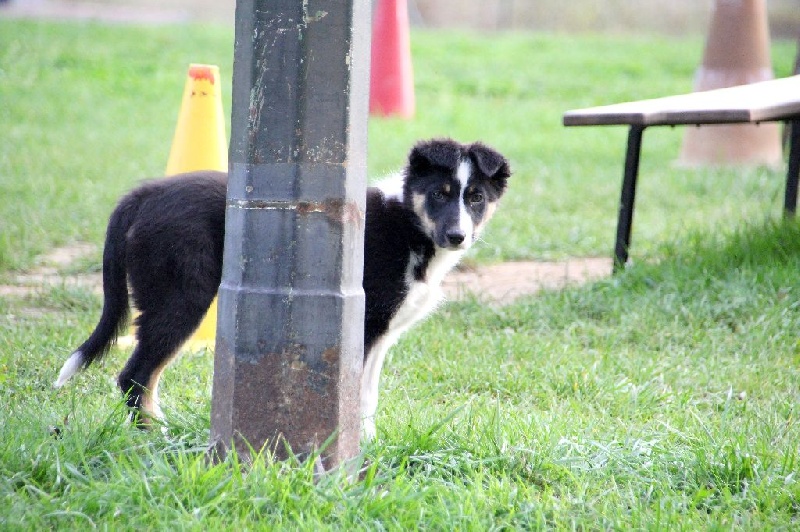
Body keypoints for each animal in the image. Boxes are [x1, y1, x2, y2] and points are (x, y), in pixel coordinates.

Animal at [53, 138, 510, 440]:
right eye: (439, 194)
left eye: (475, 198)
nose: (457, 236)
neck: (411, 227)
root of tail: (144, 194)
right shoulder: (363, 327)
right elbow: (352, 395)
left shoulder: (381, 335)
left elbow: (366, 397)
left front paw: (368, 447)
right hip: (181, 299)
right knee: (136, 376)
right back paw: (158, 439)